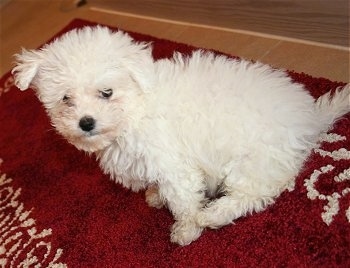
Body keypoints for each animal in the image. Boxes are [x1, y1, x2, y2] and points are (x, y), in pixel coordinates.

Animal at [12, 26, 348, 245]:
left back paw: (213, 216)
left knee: (256, 193)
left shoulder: (173, 163)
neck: (137, 108)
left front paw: (186, 230)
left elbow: (183, 199)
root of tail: (309, 118)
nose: (86, 122)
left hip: (254, 158)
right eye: (66, 99)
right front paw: (155, 195)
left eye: (106, 93)